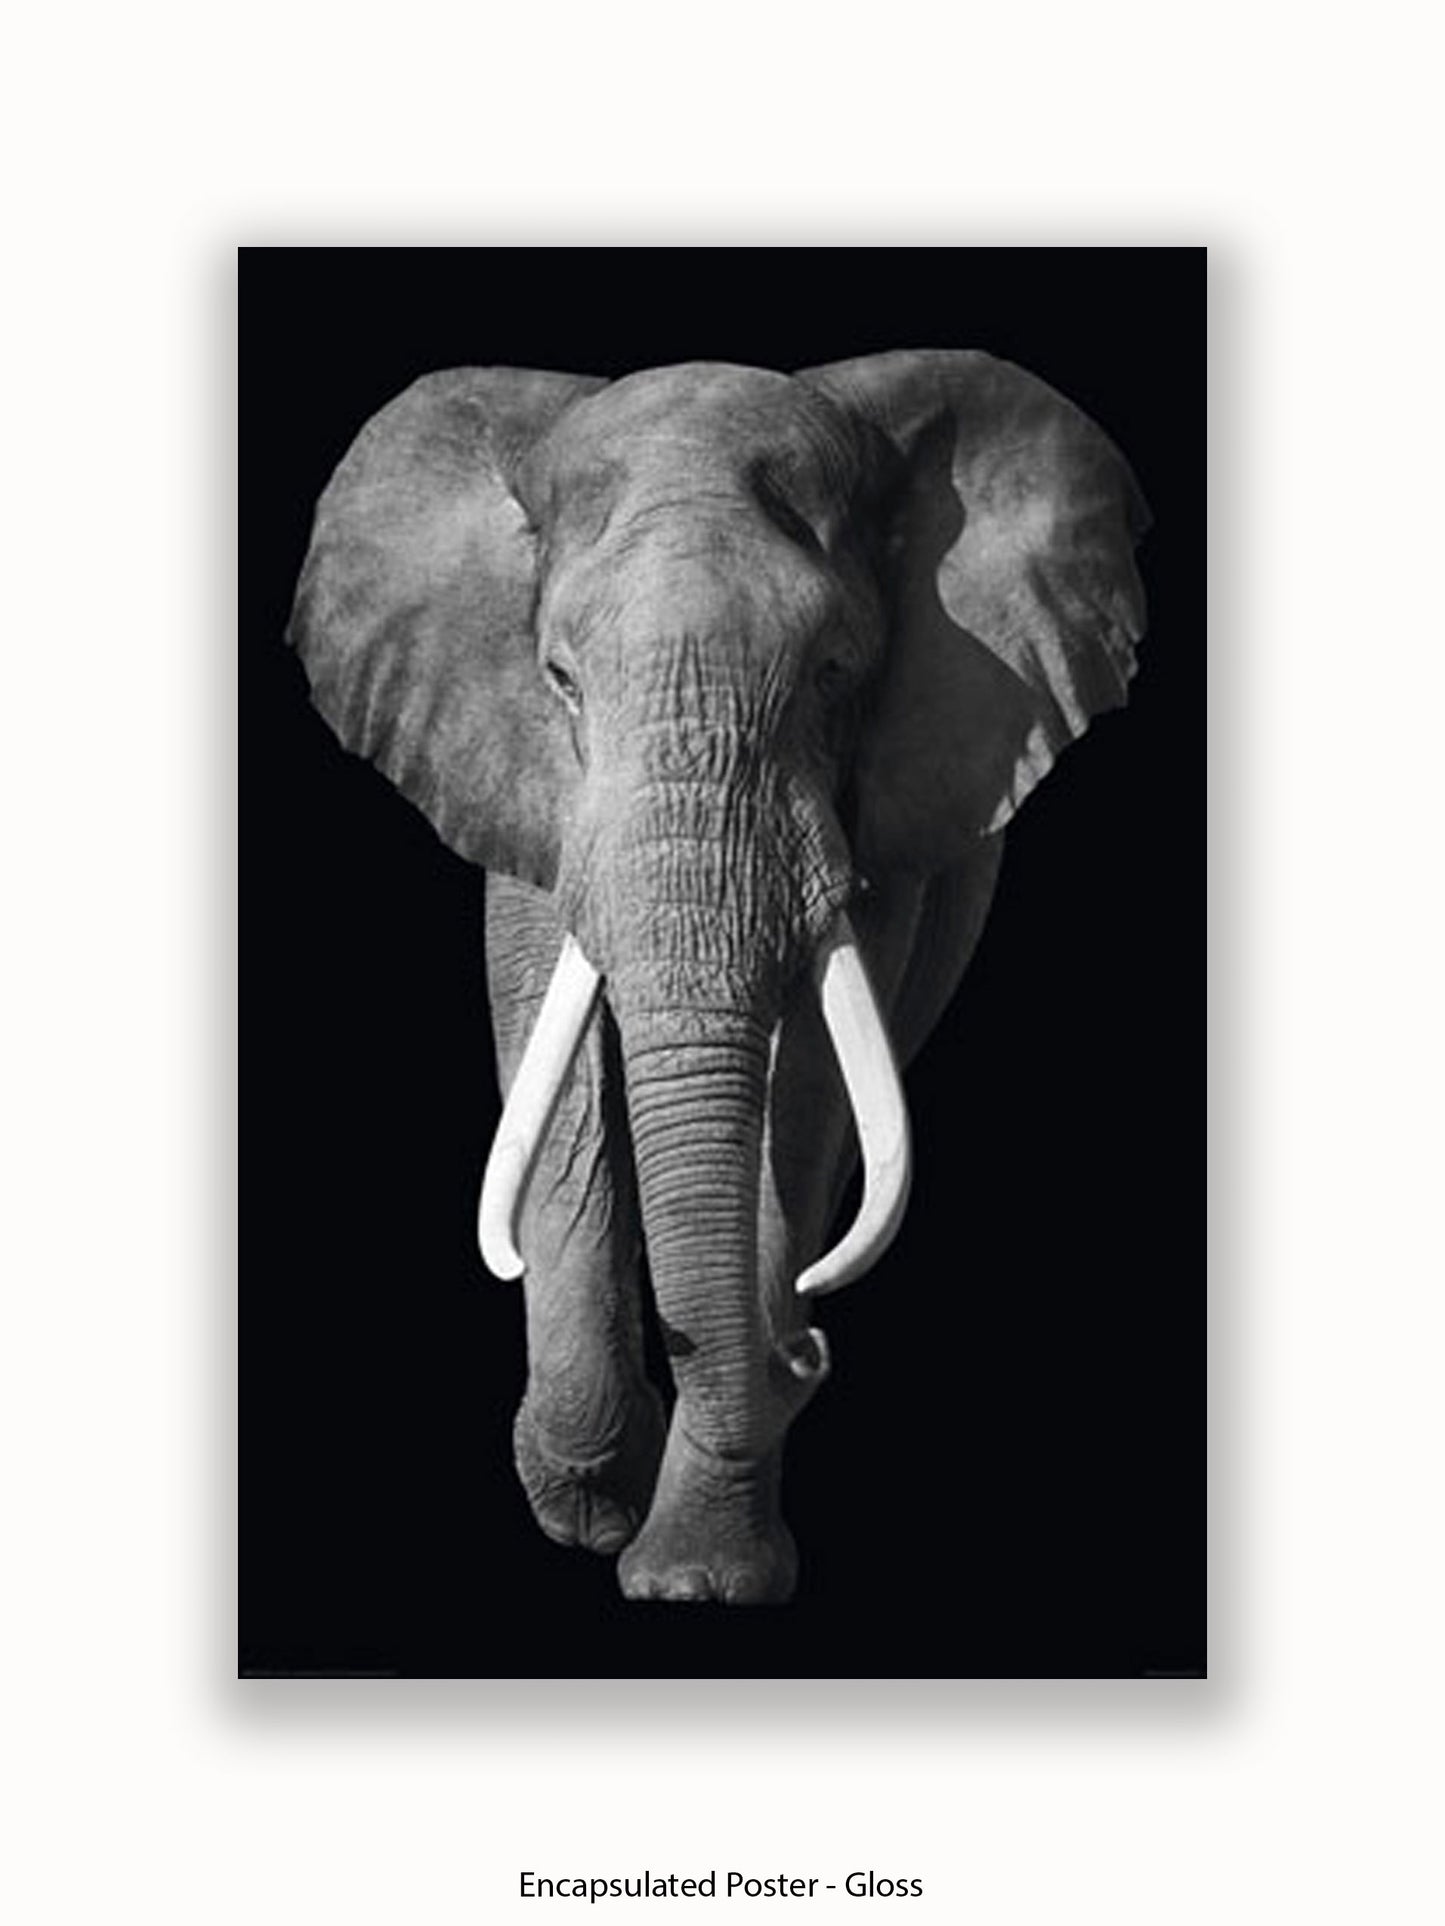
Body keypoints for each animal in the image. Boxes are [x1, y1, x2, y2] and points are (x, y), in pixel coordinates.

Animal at [286, 350, 1148, 1605]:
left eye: (836, 671)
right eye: (559, 678)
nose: (807, 1350)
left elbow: (804, 1090)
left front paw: (695, 1576)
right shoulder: (521, 777)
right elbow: (560, 1066)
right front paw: (592, 1502)